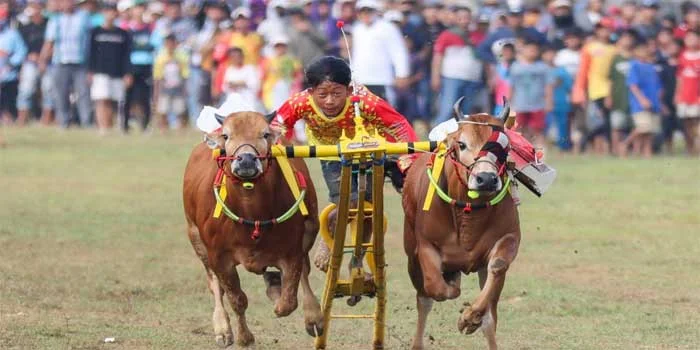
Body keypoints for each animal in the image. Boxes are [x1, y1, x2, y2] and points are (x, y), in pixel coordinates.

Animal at [180, 112, 322, 348]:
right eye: (226, 135)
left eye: (264, 134)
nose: (246, 159)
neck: (252, 211)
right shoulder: (218, 257)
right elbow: (236, 298)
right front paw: (244, 337)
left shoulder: (292, 251)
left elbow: (288, 301)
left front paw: (278, 293)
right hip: (196, 238)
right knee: (214, 285)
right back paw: (222, 328)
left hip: (311, 229)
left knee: (304, 273)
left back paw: (311, 315)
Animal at [402, 104, 524, 350]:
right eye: (462, 144)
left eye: (504, 145)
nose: (486, 179)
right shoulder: (425, 246)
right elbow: (436, 288)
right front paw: (454, 290)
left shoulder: (509, 238)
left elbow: (497, 268)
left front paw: (469, 318)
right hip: (411, 255)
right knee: (424, 299)